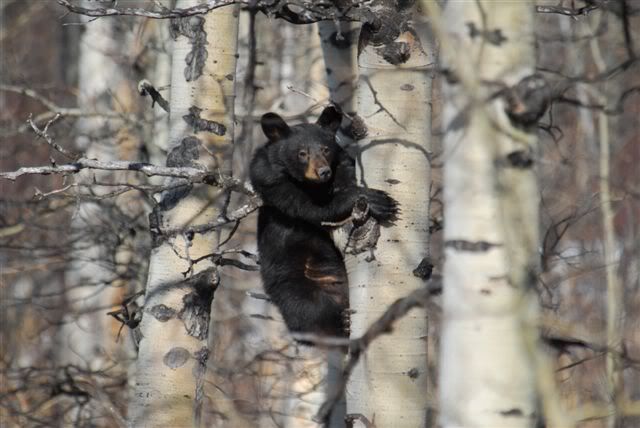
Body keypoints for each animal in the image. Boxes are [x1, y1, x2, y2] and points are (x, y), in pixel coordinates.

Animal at [251, 105, 398, 342]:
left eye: (326, 150)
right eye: (302, 153)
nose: (323, 172)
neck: (313, 185)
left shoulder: (341, 165)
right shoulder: (272, 182)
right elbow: (314, 208)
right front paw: (379, 201)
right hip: (293, 284)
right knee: (311, 311)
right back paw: (341, 323)